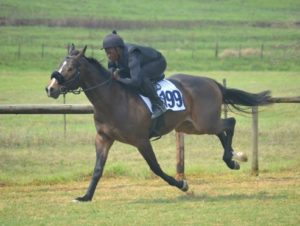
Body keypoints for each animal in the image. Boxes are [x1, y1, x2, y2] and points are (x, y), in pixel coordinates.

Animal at [45, 44, 272, 201]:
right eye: (59, 65)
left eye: (71, 68)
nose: (50, 88)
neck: (113, 99)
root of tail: (212, 82)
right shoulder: (104, 138)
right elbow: (98, 168)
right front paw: (85, 196)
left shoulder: (141, 140)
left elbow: (156, 168)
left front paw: (182, 185)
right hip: (192, 126)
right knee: (221, 130)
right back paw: (232, 159)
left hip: (204, 122)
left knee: (230, 123)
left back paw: (233, 157)